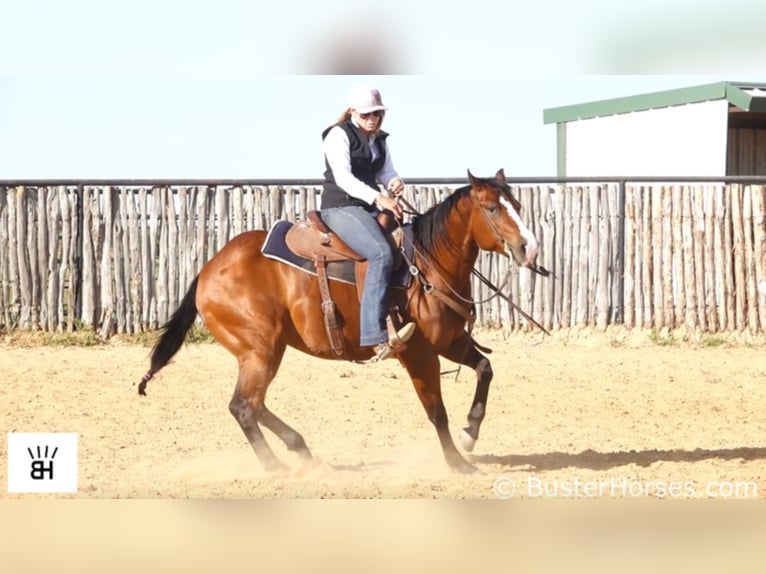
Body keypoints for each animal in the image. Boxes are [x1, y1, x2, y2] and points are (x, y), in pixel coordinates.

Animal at [141, 171, 544, 476]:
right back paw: (276, 466)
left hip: (270, 350)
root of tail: (208, 269)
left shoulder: (449, 342)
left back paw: (299, 449)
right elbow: (436, 412)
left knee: (254, 404)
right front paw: (457, 463)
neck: (427, 264)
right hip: (258, 350)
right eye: (492, 207)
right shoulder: (418, 354)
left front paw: (469, 434)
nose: (530, 248)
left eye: (518, 206)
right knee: (243, 406)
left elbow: (485, 368)